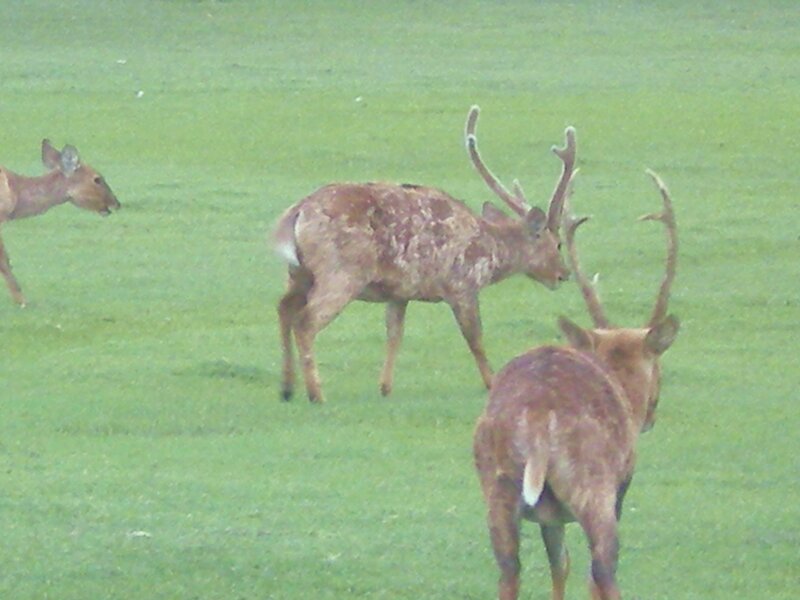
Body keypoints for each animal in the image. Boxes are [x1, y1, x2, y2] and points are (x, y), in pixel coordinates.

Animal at [273, 106, 577, 403]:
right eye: (557, 243)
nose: (564, 274)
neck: (489, 250)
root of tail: (298, 212)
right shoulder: (462, 284)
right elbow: (475, 338)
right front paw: (492, 382)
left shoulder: (399, 292)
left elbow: (394, 334)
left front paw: (385, 387)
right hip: (341, 271)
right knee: (305, 320)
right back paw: (315, 393)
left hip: (298, 272)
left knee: (284, 308)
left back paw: (287, 388)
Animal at [473, 170, 680, 600]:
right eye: (658, 367)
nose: (650, 416)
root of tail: (537, 418)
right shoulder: (622, 482)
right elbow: (586, 571)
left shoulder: (549, 516)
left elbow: (559, 563)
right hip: (593, 482)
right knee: (603, 567)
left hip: (495, 482)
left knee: (509, 568)